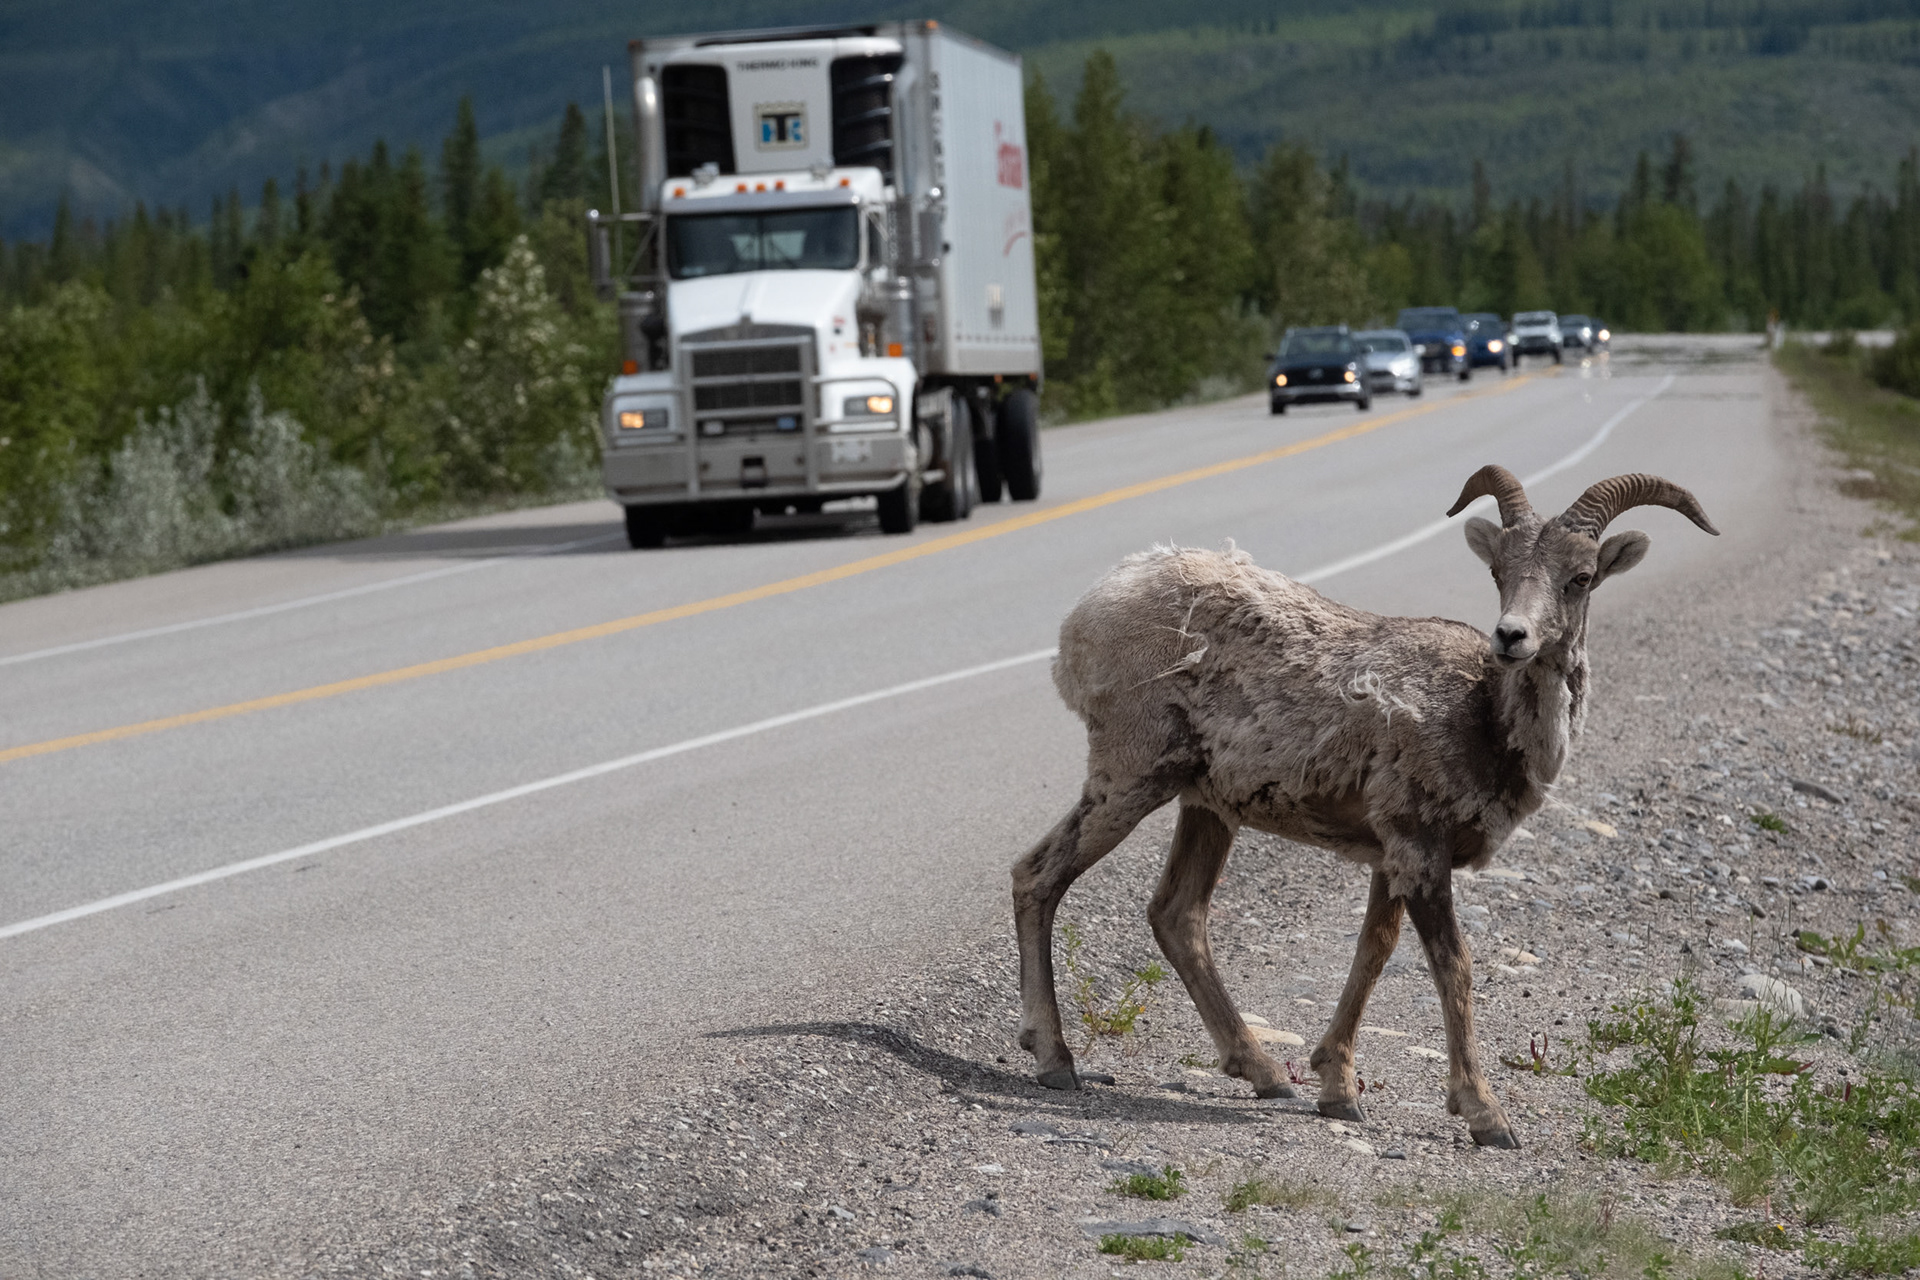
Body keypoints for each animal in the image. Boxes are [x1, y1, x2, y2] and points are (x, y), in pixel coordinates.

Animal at [1010, 465, 1717, 1148]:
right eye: (1499, 571)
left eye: (1580, 577)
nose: (1511, 637)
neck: (1486, 721)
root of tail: (1090, 612)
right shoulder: (1421, 850)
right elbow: (1454, 967)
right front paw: (1486, 1117)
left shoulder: (1392, 856)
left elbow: (1373, 952)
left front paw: (1337, 1092)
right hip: (1132, 775)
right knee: (1037, 875)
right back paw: (1056, 1062)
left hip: (1207, 804)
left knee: (1177, 915)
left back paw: (1265, 1074)